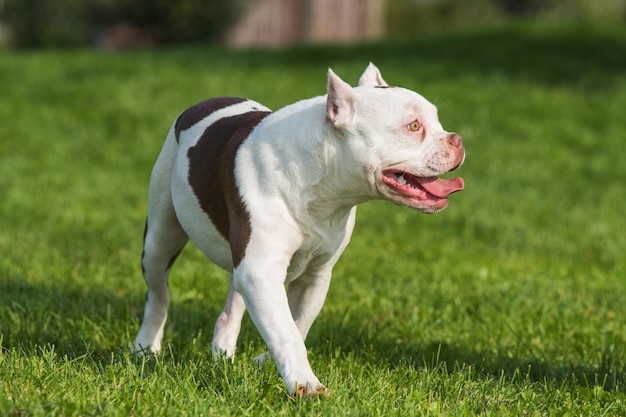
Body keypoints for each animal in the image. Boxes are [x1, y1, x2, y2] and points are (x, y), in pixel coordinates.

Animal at [132, 63, 464, 394]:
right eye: (413, 126)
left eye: (437, 121)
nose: (457, 139)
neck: (322, 182)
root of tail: (201, 104)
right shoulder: (261, 272)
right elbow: (286, 331)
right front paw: (305, 385)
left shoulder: (312, 275)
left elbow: (296, 323)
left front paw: (267, 362)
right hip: (161, 236)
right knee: (159, 293)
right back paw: (146, 348)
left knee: (231, 306)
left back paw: (222, 356)